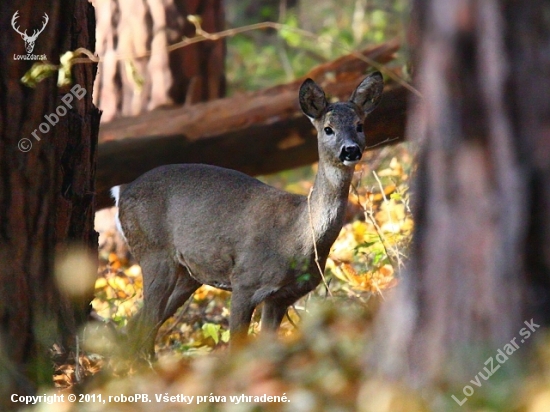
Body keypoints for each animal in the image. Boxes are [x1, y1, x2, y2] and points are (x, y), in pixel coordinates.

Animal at [113, 71, 384, 354]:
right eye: (328, 129)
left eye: (360, 125)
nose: (351, 150)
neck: (297, 236)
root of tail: (122, 191)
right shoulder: (245, 282)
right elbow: (236, 346)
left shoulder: (282, 298)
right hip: (153, 252)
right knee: (145, 324)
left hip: (187, 274)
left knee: (137, 325)